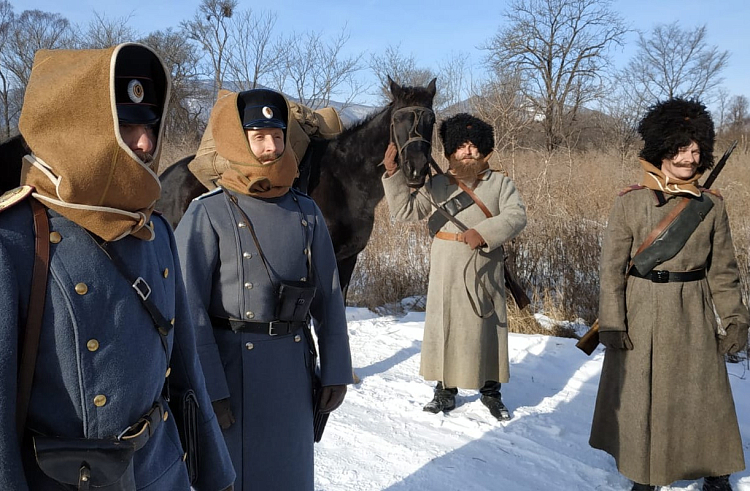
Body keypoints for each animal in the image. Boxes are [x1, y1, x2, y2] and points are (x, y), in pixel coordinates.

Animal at [160, 78, 440, 300]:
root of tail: (162, 179)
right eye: (398, 118)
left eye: (431, 119)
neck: (346, 179)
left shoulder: (348, 259)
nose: (416, 169)